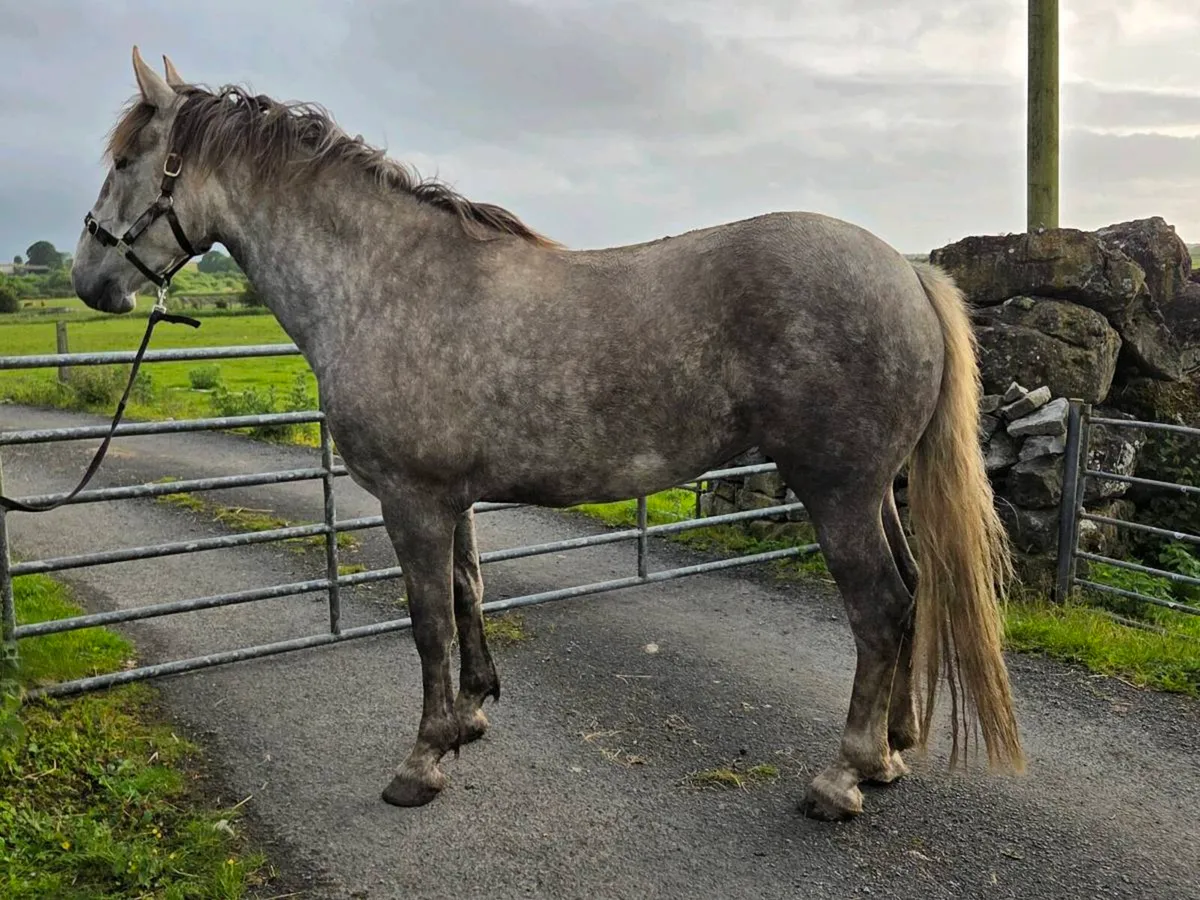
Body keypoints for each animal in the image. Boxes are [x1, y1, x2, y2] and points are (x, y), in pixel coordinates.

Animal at [69, 47, 1024, 822]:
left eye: (124, 160)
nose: (88, 281)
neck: (382, 280)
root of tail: (905, 269)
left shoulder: (411, 501)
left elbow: (427, 622)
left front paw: (421, 763)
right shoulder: (449, 500)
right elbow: (468, 595)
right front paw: (469, 719)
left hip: (837, 489)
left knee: (881, 608)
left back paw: (844, 776)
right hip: (874, 489)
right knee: (913, 592)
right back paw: (892, 753)